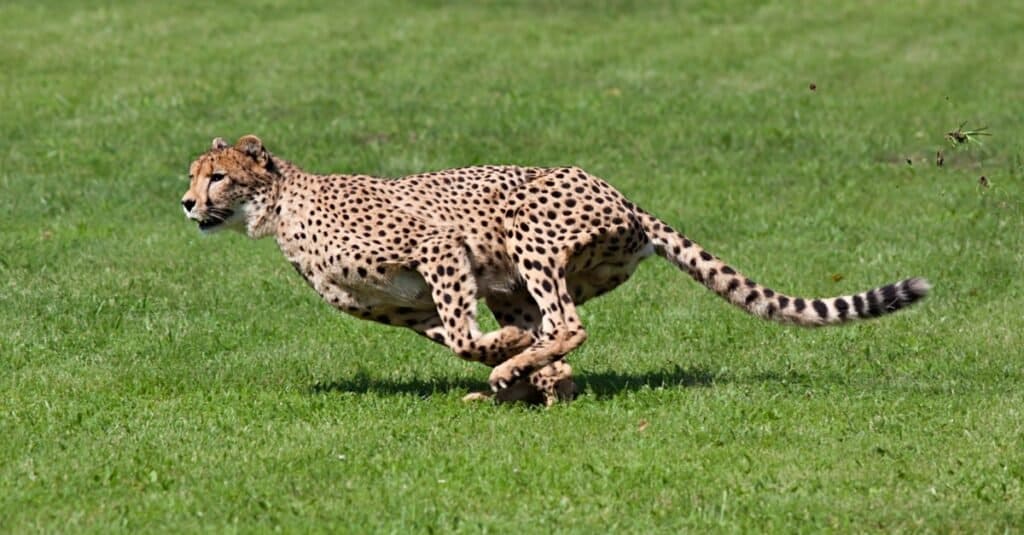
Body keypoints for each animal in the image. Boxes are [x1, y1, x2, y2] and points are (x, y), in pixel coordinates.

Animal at [180, 134, 933, 403]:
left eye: (217, 175)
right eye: (194, 175)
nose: (187, 203)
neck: (280, 207)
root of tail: (626, 198)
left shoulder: (439, 248)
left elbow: (465, 334)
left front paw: (508, 358)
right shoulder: (407, 307)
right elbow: (457, 337)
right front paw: (513, 363)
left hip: (525, 234)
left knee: (567, 323)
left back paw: (525, 373)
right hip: (518, 277)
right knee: (554, 332)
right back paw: (534, 381)